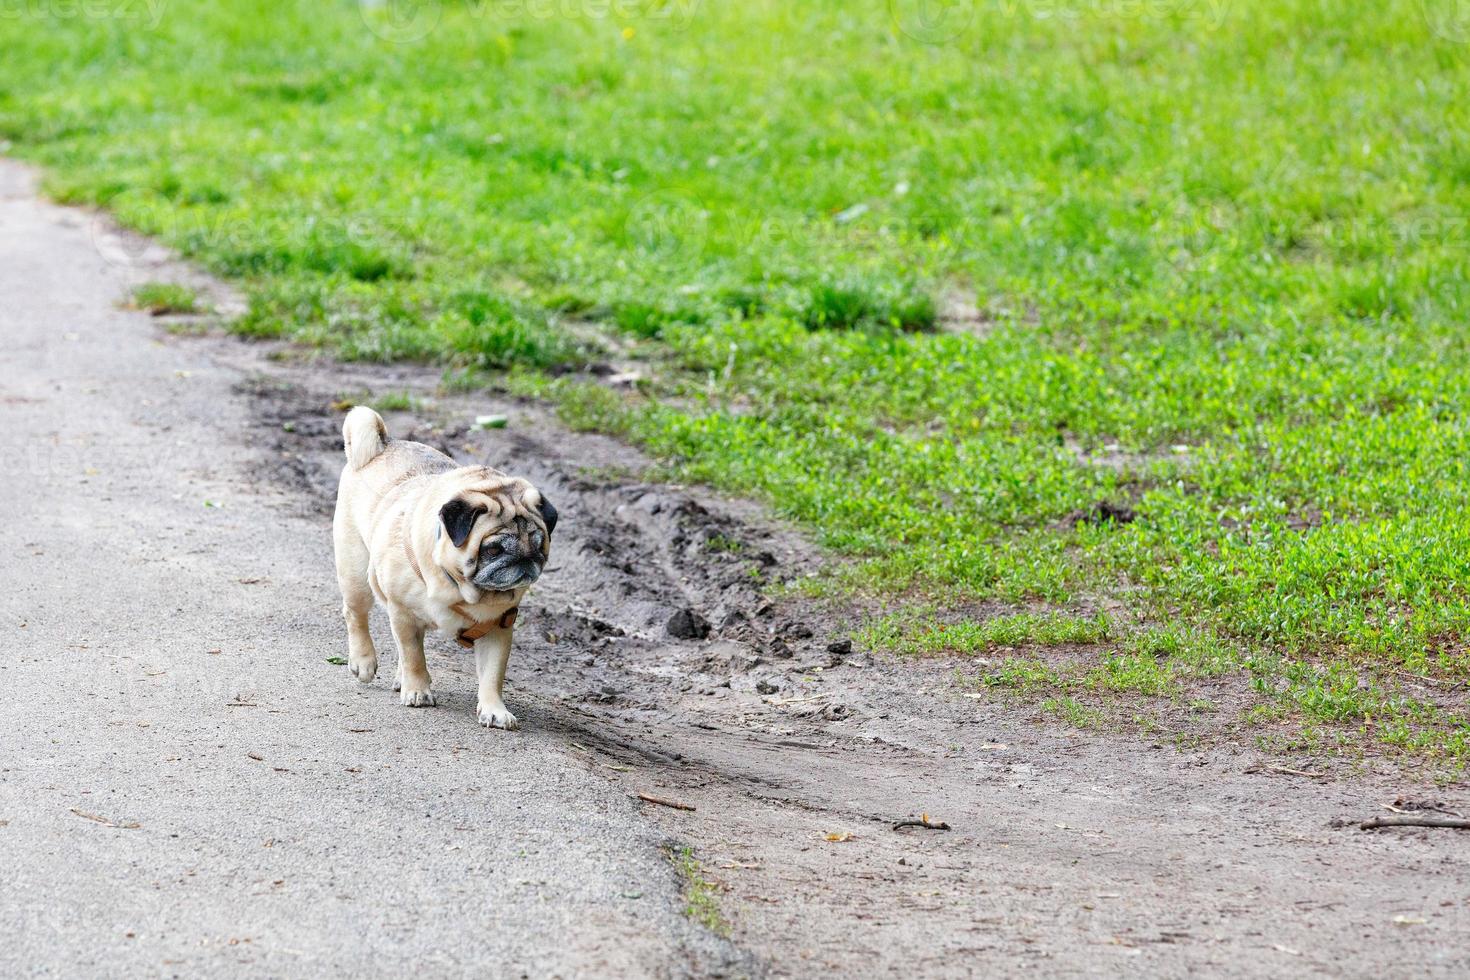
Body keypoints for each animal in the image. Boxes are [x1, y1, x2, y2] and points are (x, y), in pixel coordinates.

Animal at [333, 402, 555, 731]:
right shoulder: (403, 613)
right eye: (493, 549)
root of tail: (383, 445)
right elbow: (414, 656)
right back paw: (364, 662)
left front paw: (494, 709)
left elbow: (493, 675)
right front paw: (417, 690)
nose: (524, 559)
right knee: (357, 615)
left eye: (539, 545)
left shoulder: (498, 629)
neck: (460, 587)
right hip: (356, 573)